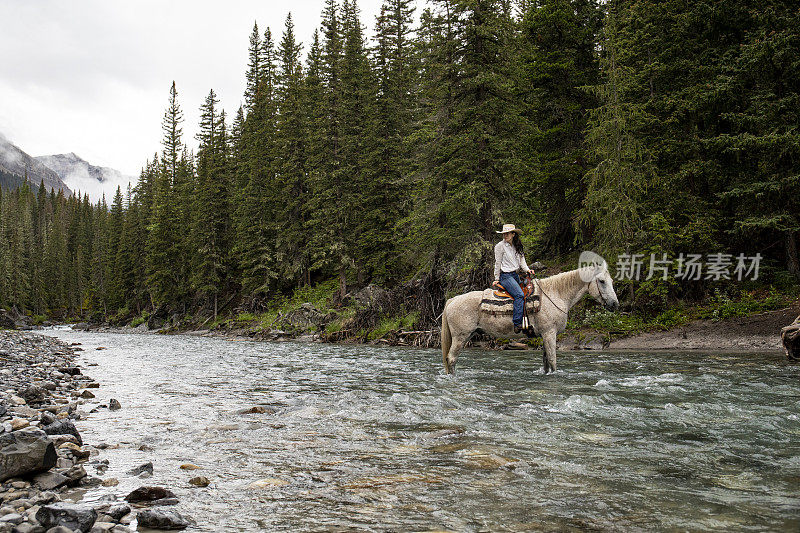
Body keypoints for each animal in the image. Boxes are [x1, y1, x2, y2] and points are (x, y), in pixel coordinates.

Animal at [444, 262, 620, 372]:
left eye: (611, 280)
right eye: (602, 281)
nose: (615, 304)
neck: (556, 294)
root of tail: (452, 300)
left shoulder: (545, 335)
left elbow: (547, 363)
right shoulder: (549, 333)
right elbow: (553, 361)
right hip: (460, 336)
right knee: (451, 359)